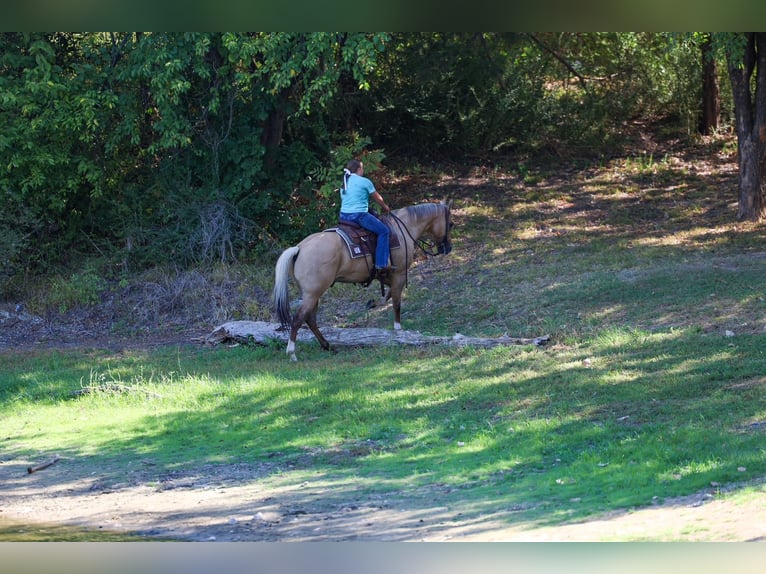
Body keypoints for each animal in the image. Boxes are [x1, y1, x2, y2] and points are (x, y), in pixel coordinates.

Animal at [273, 200, 453, 361]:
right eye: (450, 224)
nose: (448, 248)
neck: (402, 229)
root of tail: (299, 248)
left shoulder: (387, 276)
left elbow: (388, 295)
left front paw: (375, 303)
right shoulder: (399, 274)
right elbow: (396, 303)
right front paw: (398, 330)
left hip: (312, 294)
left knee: (310, 318)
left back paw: (327, 345)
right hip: (313, 293)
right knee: (299, 318)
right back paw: (292, 353)